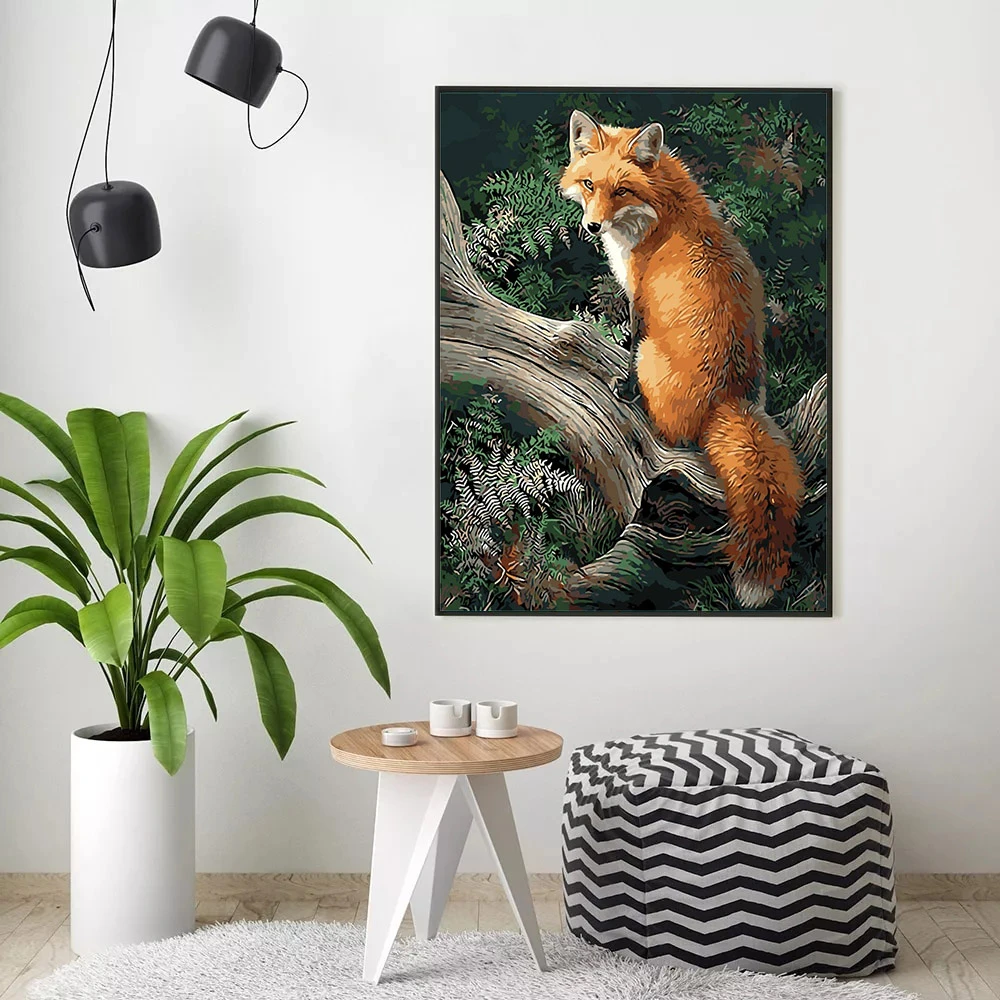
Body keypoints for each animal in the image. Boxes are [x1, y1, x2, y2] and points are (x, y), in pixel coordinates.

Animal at [559, 109, 803, 608]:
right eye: (590, 184)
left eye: (622, 190)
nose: (592, 228)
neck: (663, 211)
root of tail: (729, 400)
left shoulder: (639, 299)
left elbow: (629, 342)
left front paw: (623, 387)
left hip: (654, 358)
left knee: (670, 431)